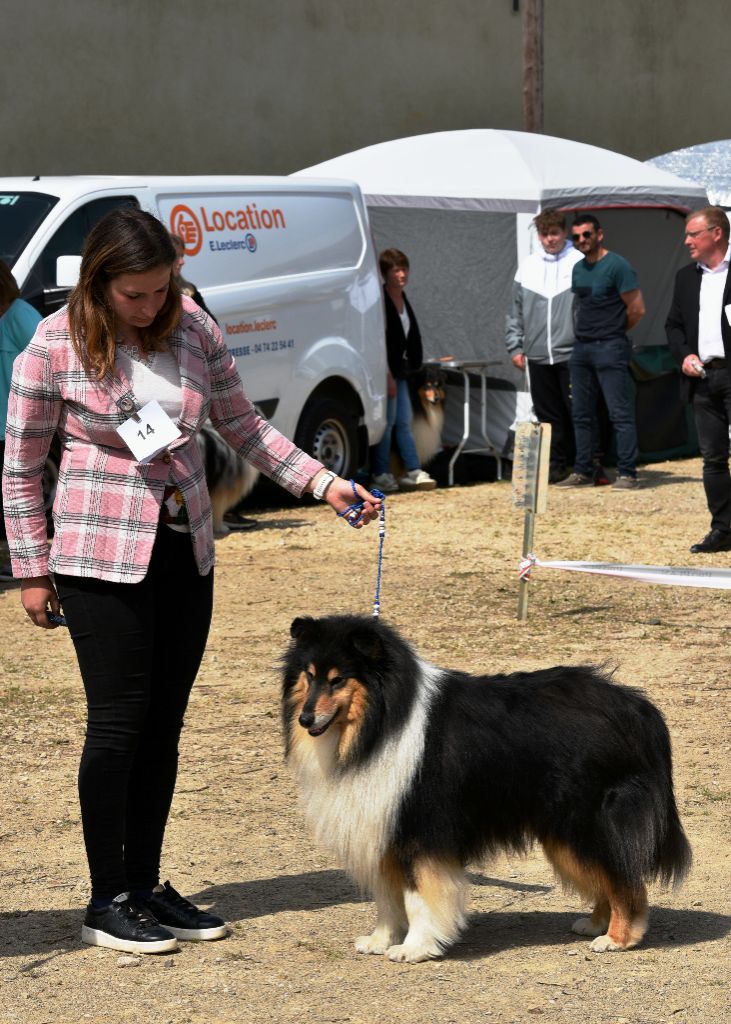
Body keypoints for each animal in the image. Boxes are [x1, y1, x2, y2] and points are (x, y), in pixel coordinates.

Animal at [282, 614, 692, 958]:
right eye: (310, 674)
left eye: (338, 679)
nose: (305, 719)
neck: (381, 723)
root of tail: (639, 708)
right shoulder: (383, 830)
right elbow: (387, 897)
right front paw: (380, 940)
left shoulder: (420, 833)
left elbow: (417, 898)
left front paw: (415, 947)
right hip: (565, 832)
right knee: (605, 876)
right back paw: (594, 923)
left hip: (589, 822)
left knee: (624, 879)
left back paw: (617, 938)